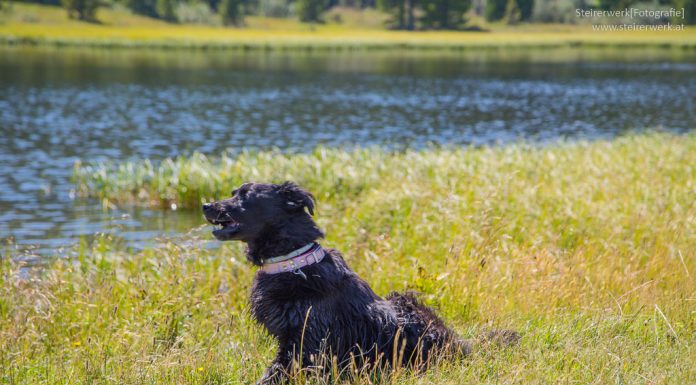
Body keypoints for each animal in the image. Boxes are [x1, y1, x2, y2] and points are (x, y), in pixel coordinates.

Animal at [204, 182, 512, 382]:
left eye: (245, 196)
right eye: (232, 193)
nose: (206, 205)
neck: (295, 263)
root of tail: (464, 345)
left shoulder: (306, 343)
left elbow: (274, 374)